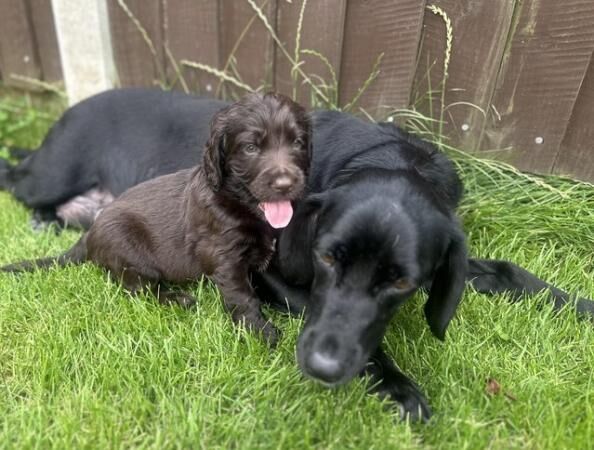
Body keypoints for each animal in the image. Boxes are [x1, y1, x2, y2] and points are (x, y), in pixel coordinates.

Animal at [2, 93, 310, 342]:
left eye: (297, 143)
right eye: (250, 148)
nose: (285, 184)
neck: (237, 199)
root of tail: (89, 234)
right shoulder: (225, 257)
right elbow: (243, 296)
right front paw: (261, 333)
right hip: (131, 255)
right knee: (137, 288)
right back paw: (178, 299)